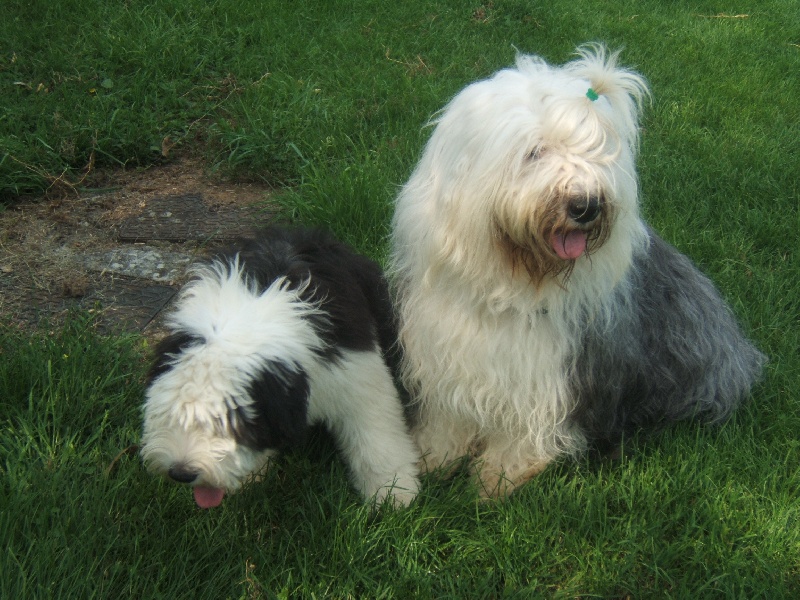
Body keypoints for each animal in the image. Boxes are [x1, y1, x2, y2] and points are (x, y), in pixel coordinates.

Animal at [141, 227, 422, 508]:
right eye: (172, 414)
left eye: (228, 422)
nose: (181, 473)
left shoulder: (354, 372)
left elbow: (376, 434)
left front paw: (393, 493)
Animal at [390, 44, 764, 500]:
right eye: (535, 152)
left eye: (598, 152)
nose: (586, 205)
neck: (511, 284)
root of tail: (741, 350)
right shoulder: (446, 352)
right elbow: (449, 415)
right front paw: (433, 457)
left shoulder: (552, 375)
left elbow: (525, 428)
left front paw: (499, 478)